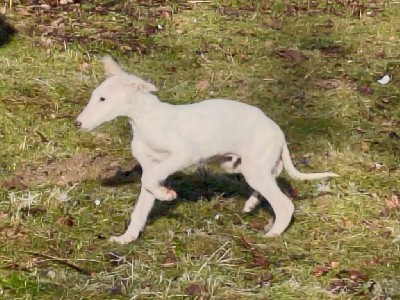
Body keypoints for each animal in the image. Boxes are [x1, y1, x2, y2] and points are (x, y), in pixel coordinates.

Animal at [75, 56, 338, 244]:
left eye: (103, 100)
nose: (77, 124)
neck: (146, 120)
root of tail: (279, 133)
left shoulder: (182, 154)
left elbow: (151, 180)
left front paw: (167, 195)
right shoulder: (151, 165)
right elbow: (144, 197)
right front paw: (127, 238)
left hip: (253, 168)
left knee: (285, 204)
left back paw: (272, 234)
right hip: (241, 166)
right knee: (270, 182)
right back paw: (252, 204)